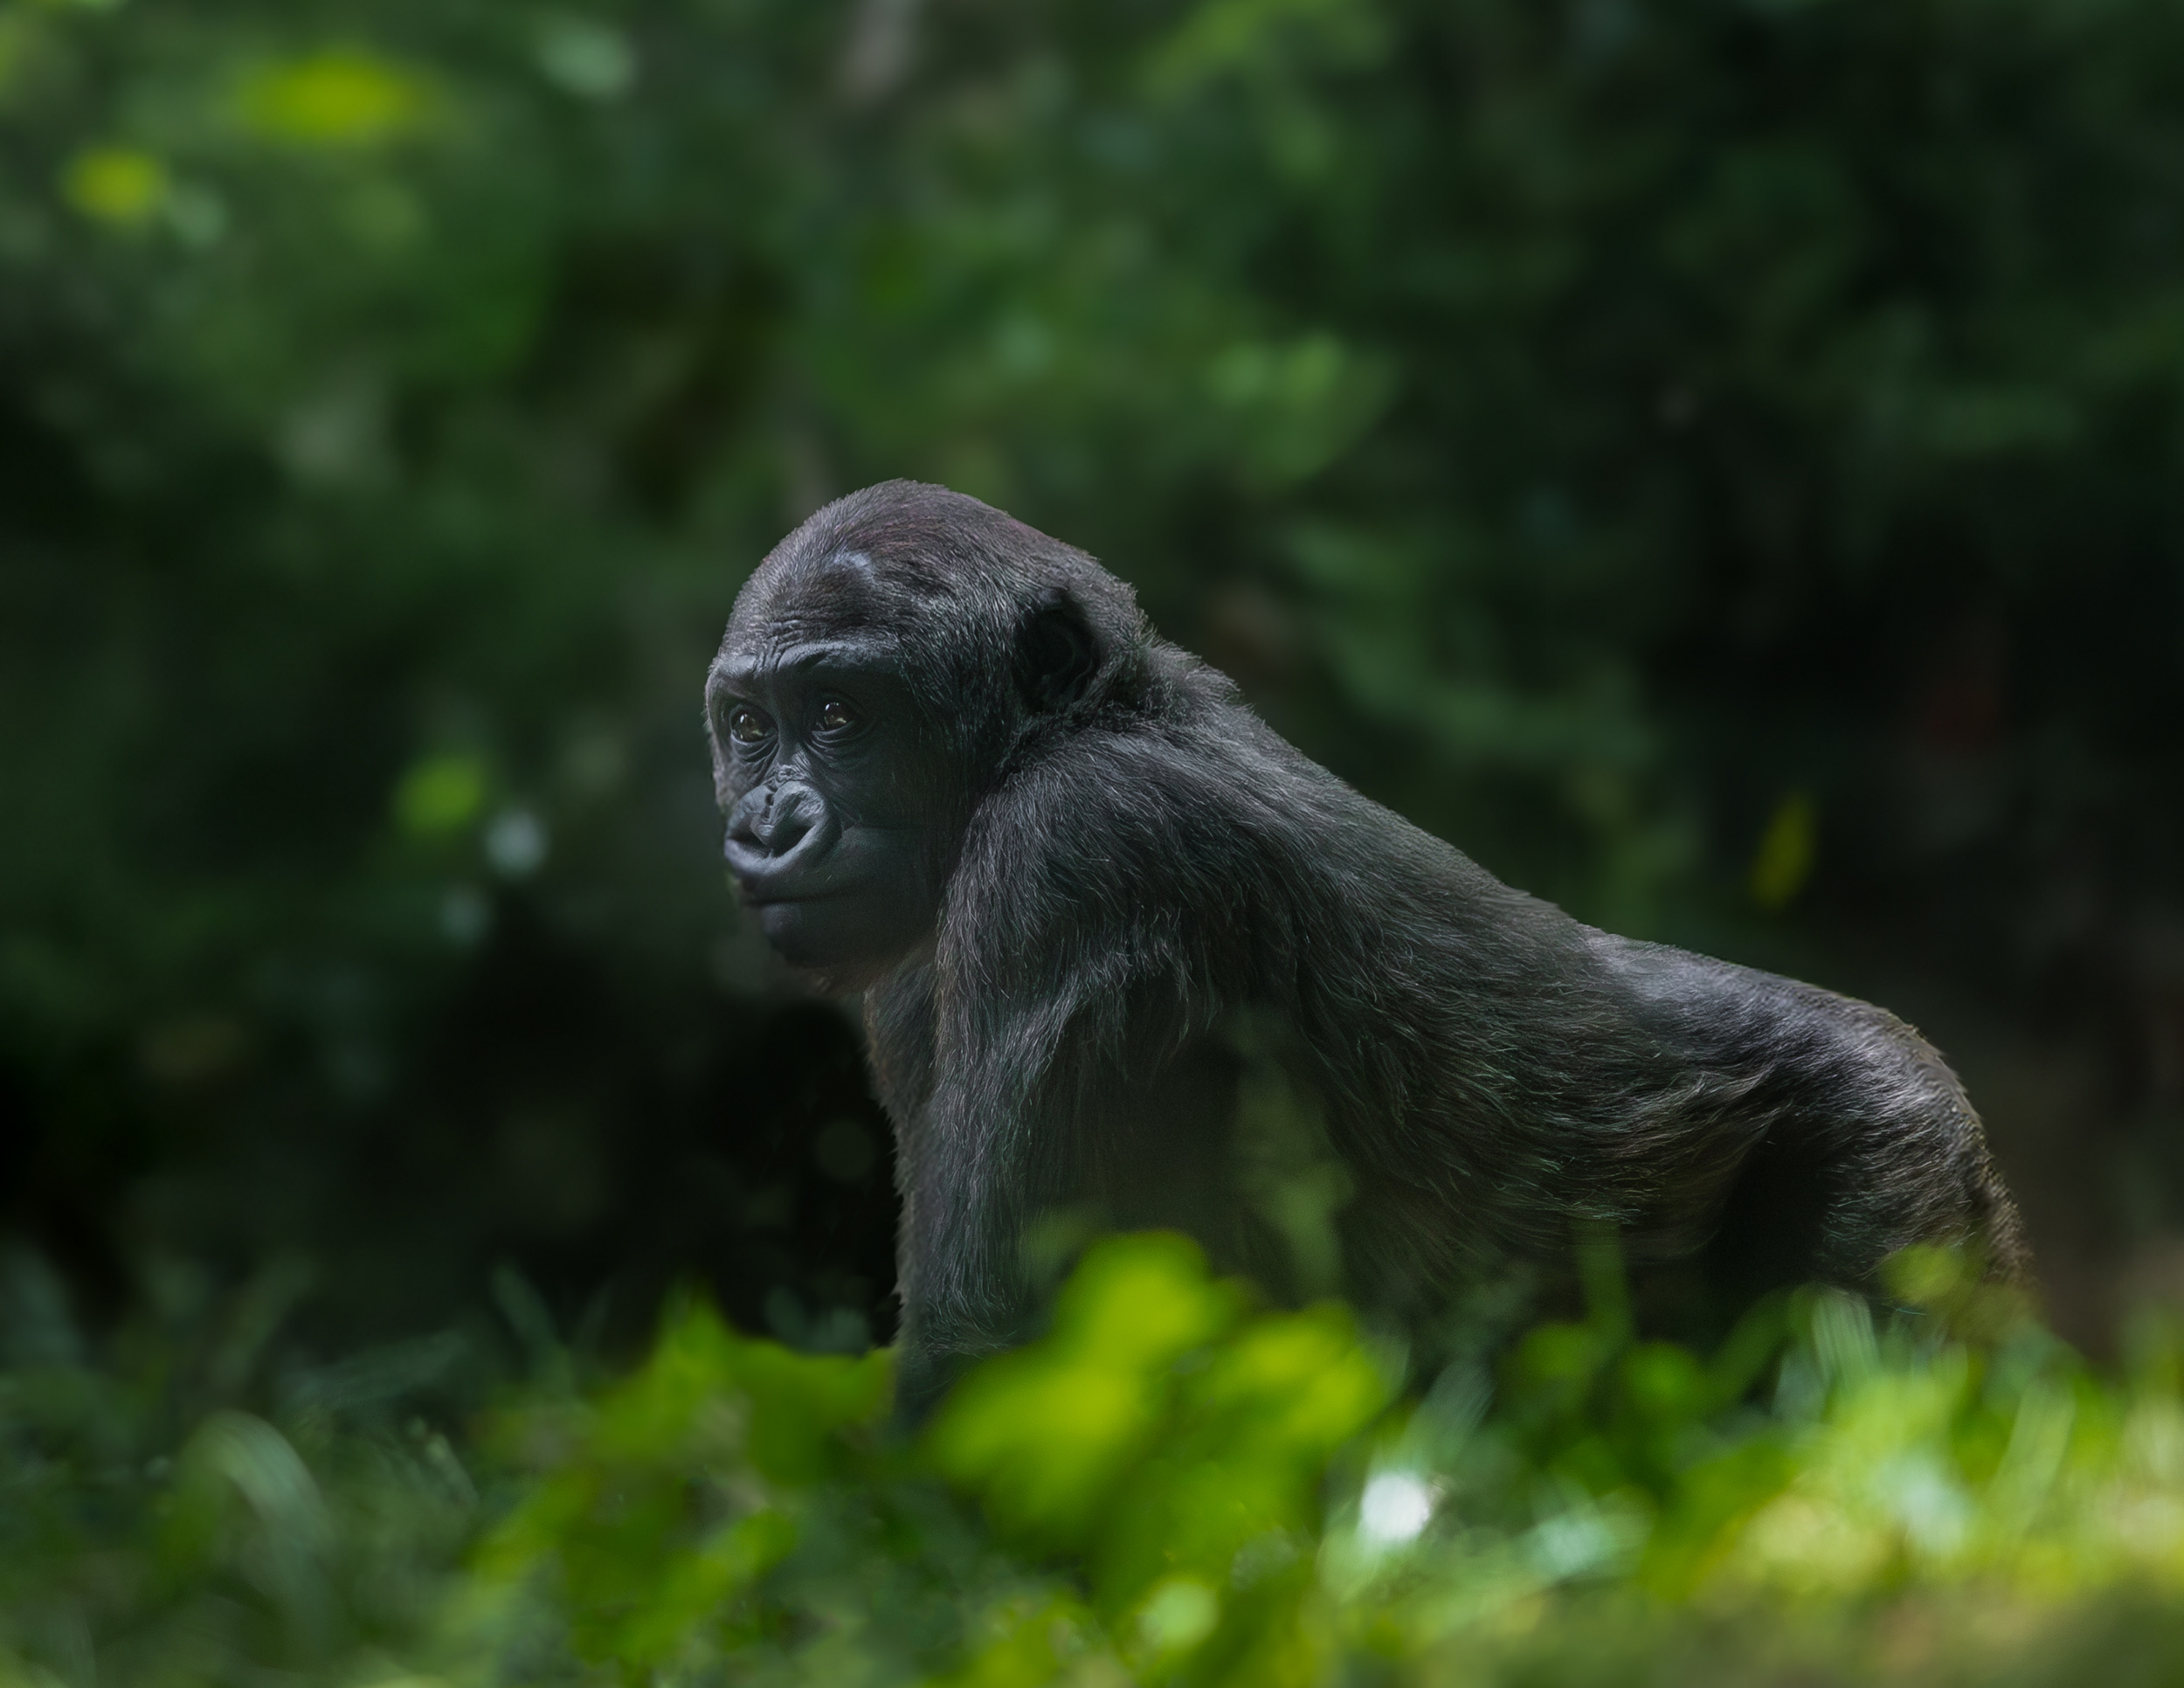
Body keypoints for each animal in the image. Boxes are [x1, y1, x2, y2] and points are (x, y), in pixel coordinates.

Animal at [705, 480, 2027, 1417]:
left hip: (1898, 1174)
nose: (767, 825)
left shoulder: (1076, 850)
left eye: (841, 716)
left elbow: (990, 1348)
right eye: (748, 725)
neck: (1068, 730)